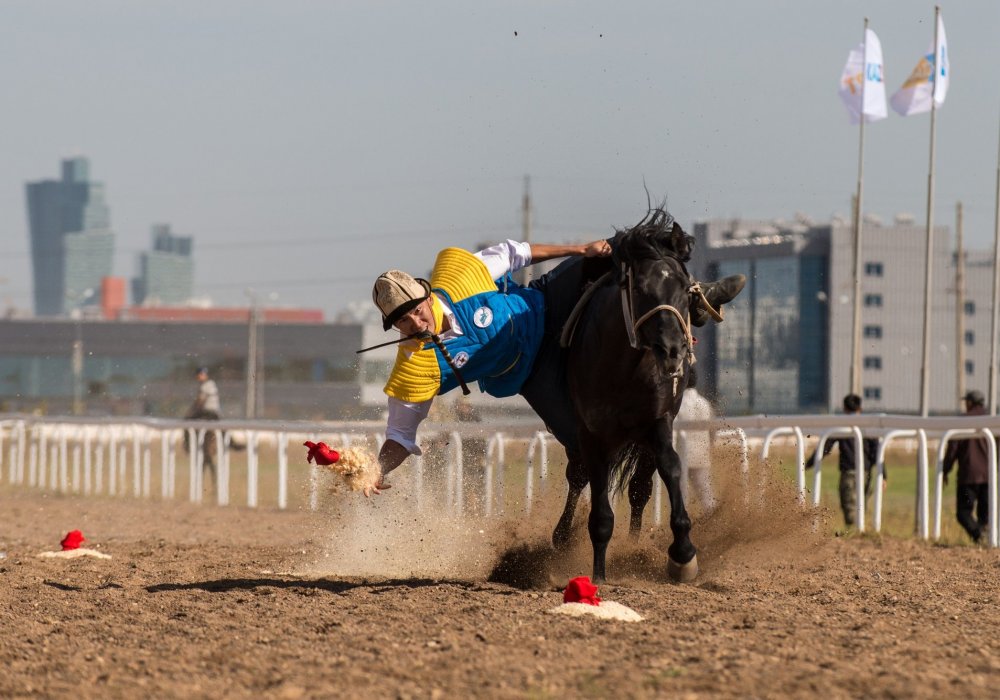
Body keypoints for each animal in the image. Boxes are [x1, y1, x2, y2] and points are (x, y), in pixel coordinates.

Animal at [552, 211, 740, 584]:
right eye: (640, 288)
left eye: (685, 287)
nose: (673, 350)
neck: (624, 368)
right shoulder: (592, 433)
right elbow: (598, 502)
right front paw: (598, 573)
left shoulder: (657, 421)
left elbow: (669, 467)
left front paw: (683, 554)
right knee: (578, 477)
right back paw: (563, 536)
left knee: (640, 488)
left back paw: (635, 544)